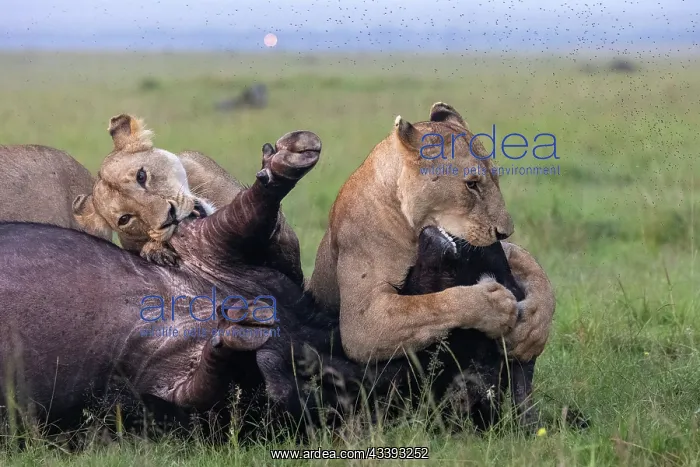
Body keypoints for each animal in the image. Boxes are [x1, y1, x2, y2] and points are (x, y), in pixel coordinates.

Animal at [306, 102, 556, 365]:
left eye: (495, 179)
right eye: (472, 184)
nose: (505, 233)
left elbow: (528, 263)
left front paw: (534, 327)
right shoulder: (362, 325)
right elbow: (429, 306)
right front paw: (493, 306)